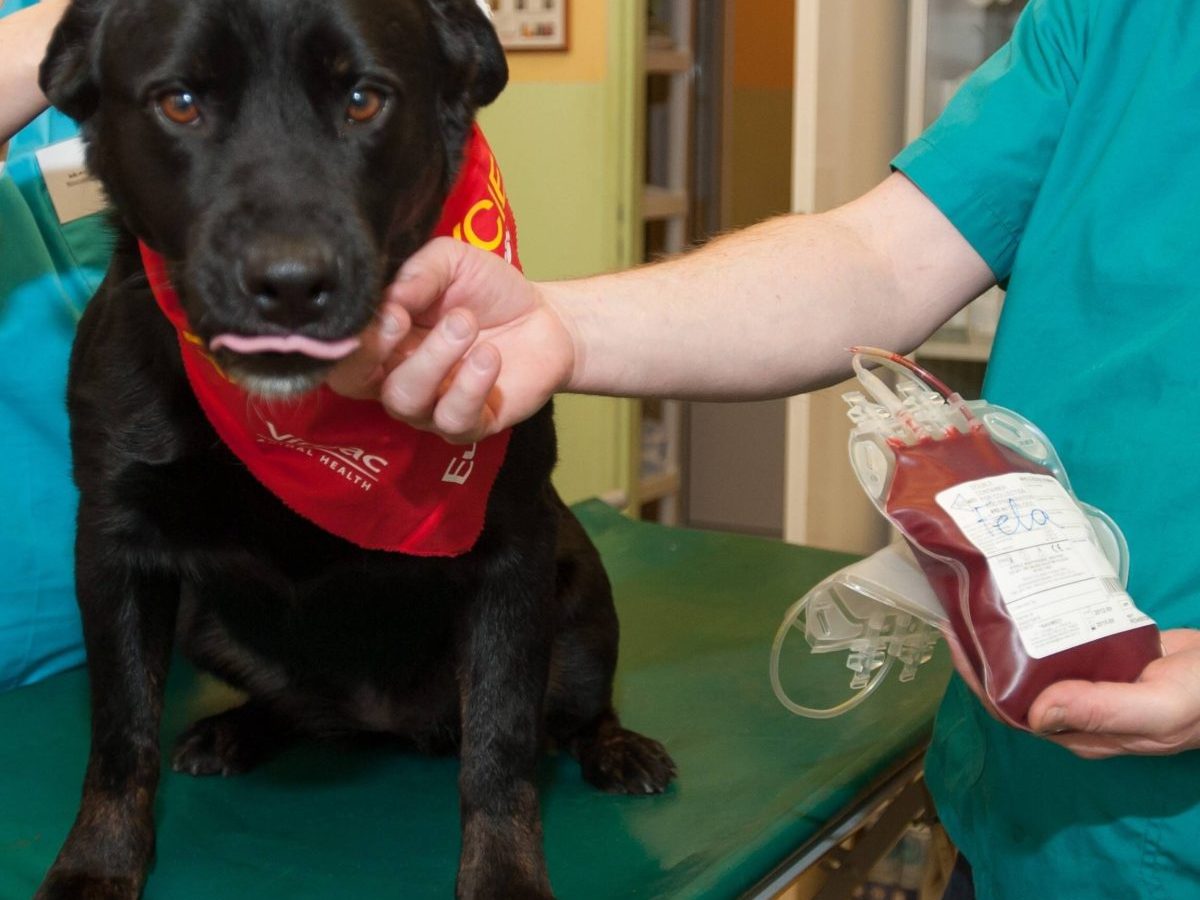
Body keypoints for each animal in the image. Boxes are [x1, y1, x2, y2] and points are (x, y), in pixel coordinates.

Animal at [35, 1, 676, 900]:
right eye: (181, 102)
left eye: (364, 98)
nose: (291, 285)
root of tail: (386, 718)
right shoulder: (114, 547)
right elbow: (120, 735)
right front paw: (96, 864)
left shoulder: (513, 552)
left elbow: (503, 747)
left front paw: (506, 874)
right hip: (203, 618)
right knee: (294, 710)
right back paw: (238, 730)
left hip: (582, 606)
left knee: (572, 712)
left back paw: (616, 748)